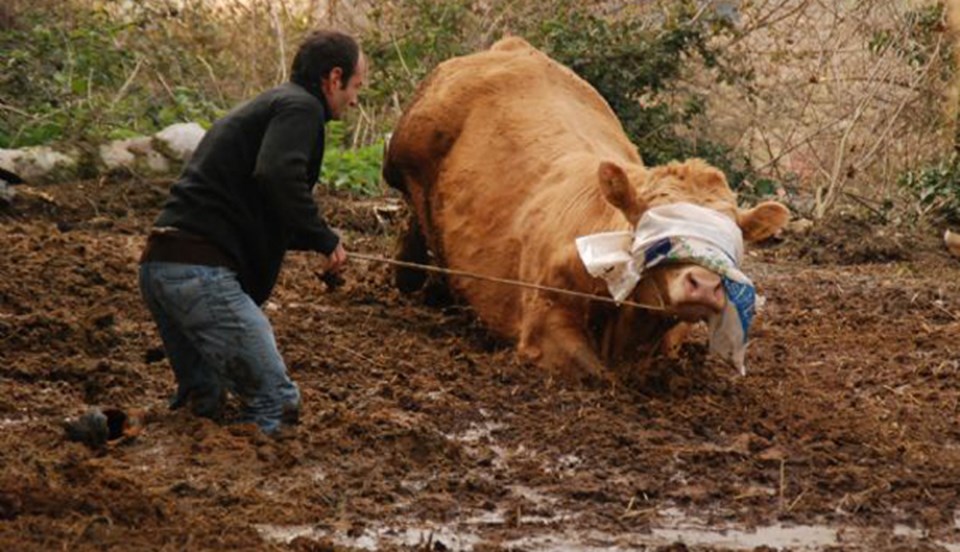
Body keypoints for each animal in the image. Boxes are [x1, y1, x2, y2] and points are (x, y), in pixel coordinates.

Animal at [382, 38, 788, 384]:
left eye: (731, 233)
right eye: (652, 216)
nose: (703, 285)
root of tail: (513, 47)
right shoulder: (544, 319)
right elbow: (597, 373)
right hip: (405, 158)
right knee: (415, 218)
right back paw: (410, 280)